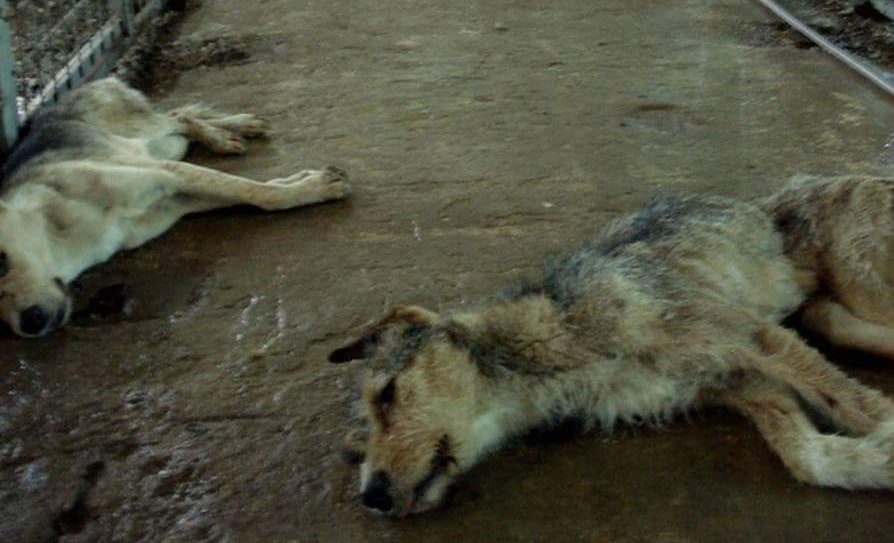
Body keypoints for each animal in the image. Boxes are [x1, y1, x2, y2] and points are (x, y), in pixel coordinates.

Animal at [0, 78, 352, 338]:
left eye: (0, 261)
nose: (29, 324)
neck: (64, 238)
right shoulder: (177, 201)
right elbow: (257, 191)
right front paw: (302, 181)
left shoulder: (168, 173)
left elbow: (258, 192)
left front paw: (313, 187)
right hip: (166, 146)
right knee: (182, 117)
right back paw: (233, 127)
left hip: (150, 138)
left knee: (177, 117)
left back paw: (224, 134)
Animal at [328, 175, 894, 520]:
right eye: (357, 446)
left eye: (387, 394)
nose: (372, 497)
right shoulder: (745, 386)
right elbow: (809, 456)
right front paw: (879, 463)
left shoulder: (748, 335)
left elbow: (856, 402)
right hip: (834, 316)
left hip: (863, 284)